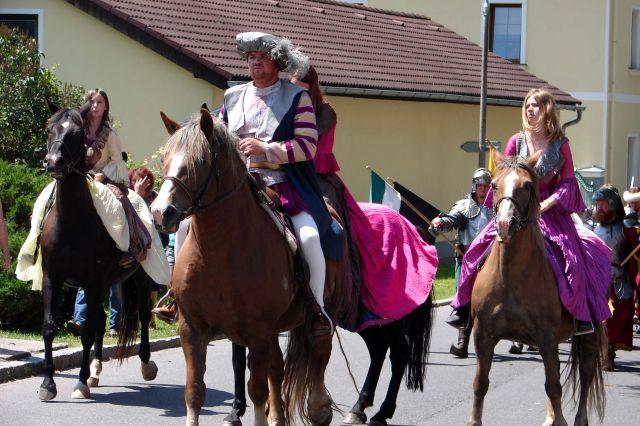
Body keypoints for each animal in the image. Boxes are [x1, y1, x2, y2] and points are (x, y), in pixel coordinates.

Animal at [38, 108, 157, 402]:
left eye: (77, 133)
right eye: (50, 129)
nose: (53, 162)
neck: (72, 220)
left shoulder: (92, 282)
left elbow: (87, 333)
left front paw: (79, 384)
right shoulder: (52, 278)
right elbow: (49, 327)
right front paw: (48, 384)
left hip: (139, 277)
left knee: (143, 313)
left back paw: (146, 364)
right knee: (102, 321)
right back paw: (95, 370)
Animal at [149, 110, 350, 426]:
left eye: (199, 161)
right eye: (164, 158)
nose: (160, 212)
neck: (219, 249)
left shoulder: (256, 331)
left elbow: (256, 389)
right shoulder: (192, 328)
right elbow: (194, 391)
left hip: (321, 311)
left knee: (320, 349)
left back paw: (319, 408)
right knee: (277, 369)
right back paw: (278, 416)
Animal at [468, 153, 608, 426]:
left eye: (527, 186)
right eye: (494, 186)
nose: (504, 224)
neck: (511, 277)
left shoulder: (546, 337)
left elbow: (554, 386)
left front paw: (562, 421)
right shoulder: (483, 334)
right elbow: (480, 383)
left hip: (589, 334)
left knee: (585, 374)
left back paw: (578, 419)